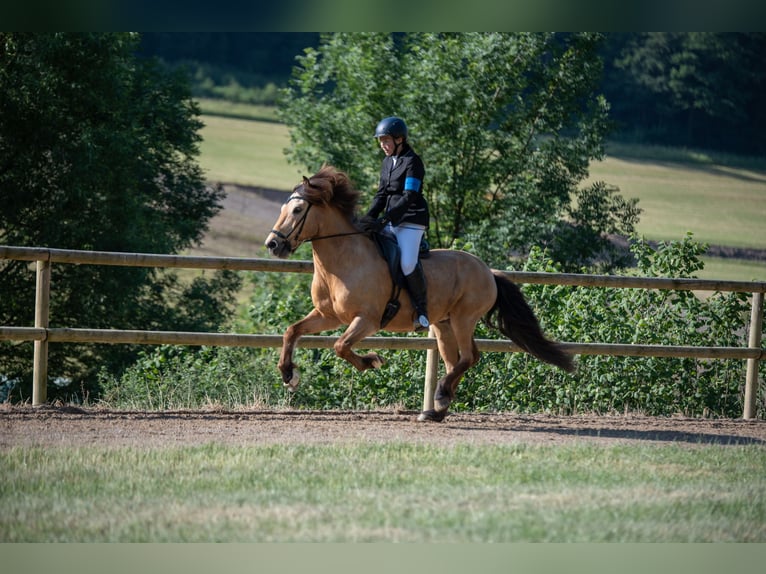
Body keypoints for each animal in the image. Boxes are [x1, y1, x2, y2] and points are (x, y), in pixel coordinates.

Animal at [264, 165, 574, 422]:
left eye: (297, 211)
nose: (273, 245)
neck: (343, 260)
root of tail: (489, 272)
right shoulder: (328, 315)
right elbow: (292, 331)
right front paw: (289, 374)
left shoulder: (367, 320)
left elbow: (340, 346)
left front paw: (371, 361)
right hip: (444, 324)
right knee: (456, 360)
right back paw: (438, 409)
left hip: (463, 319)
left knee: (469, 357)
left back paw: (440, 396)